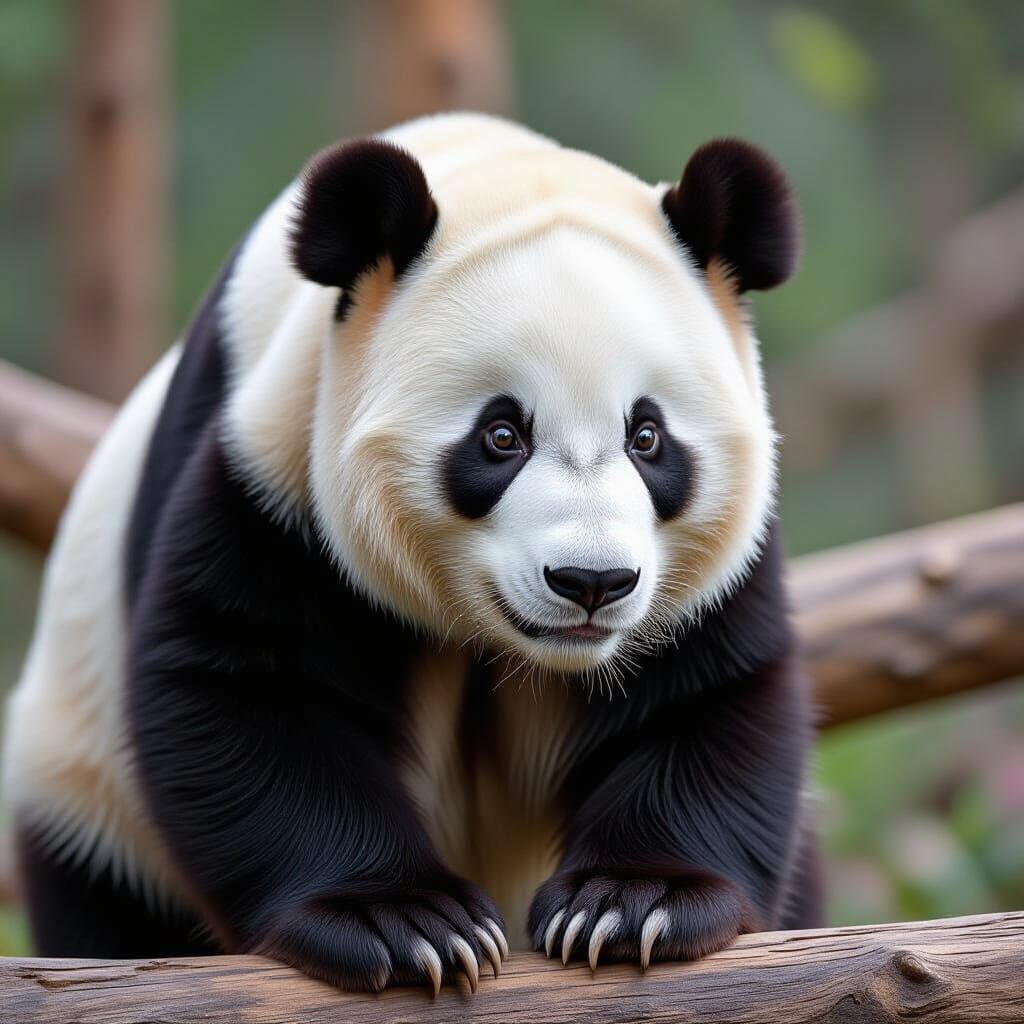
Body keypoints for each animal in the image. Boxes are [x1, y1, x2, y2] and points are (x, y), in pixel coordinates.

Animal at [3, 113, 819, 993]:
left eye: (647, 437)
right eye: (502, 435)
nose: (591, 582)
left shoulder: (713, 570)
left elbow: (707, 697)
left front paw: (633, 903)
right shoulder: (280, 475)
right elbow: (246, 684)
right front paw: (402, 922)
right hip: (87, 796)